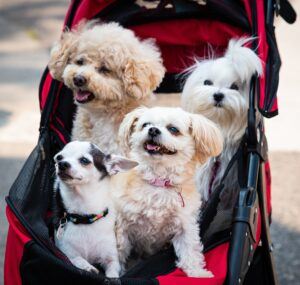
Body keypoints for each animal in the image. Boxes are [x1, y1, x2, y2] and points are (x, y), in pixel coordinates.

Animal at [53, 141, 137, 276]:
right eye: (59, 157)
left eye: (84, 160)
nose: (62, 164)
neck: (85, 217)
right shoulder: (66, 252)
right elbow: (77, 259)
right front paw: (88, 267)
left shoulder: (111, 260)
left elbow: (113, 273)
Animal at [112, 106, 223, 276]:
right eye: (145, 125)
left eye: (173, 129)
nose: (153, 130)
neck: (158, 182)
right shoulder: (122, 225)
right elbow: (118, 252)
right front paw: (115, 275)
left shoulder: (185, 225)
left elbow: (190, 250)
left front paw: (198, 273)